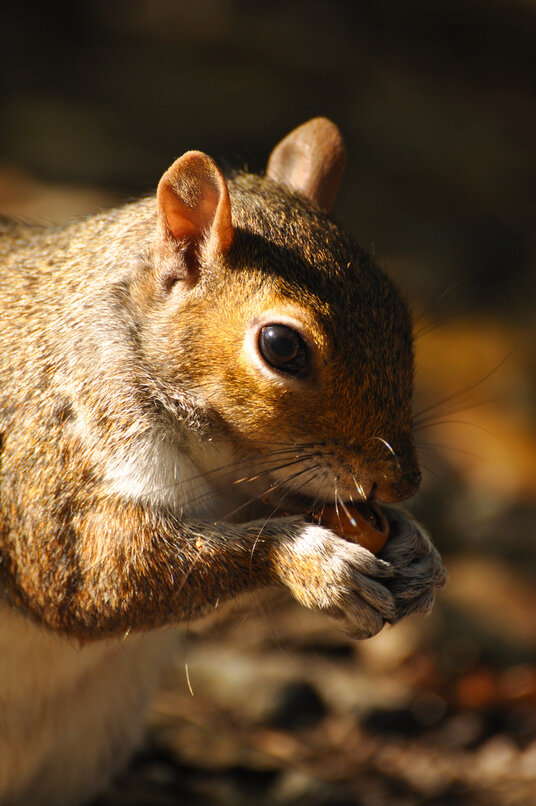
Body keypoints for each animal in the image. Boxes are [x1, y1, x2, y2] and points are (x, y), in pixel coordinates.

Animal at [0, 118, 446, 805]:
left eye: (398, 312)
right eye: (281, 346)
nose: (402, 483)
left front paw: (417, 546)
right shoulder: (49, 464)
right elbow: (91, 579)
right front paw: (312, 563)